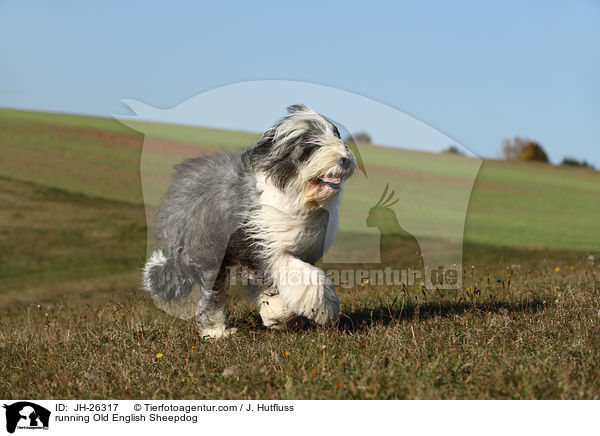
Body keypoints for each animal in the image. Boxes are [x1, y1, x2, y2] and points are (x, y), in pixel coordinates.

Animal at [142, 104, 354, 338]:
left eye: (336, 135)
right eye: (311, 146)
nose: (344, 159)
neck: (297, 196)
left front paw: (277, 316)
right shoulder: (263, 246)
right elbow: (307, 278)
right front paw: (325, 308)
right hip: (210, 252)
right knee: (212, 297)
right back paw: (216, 332)